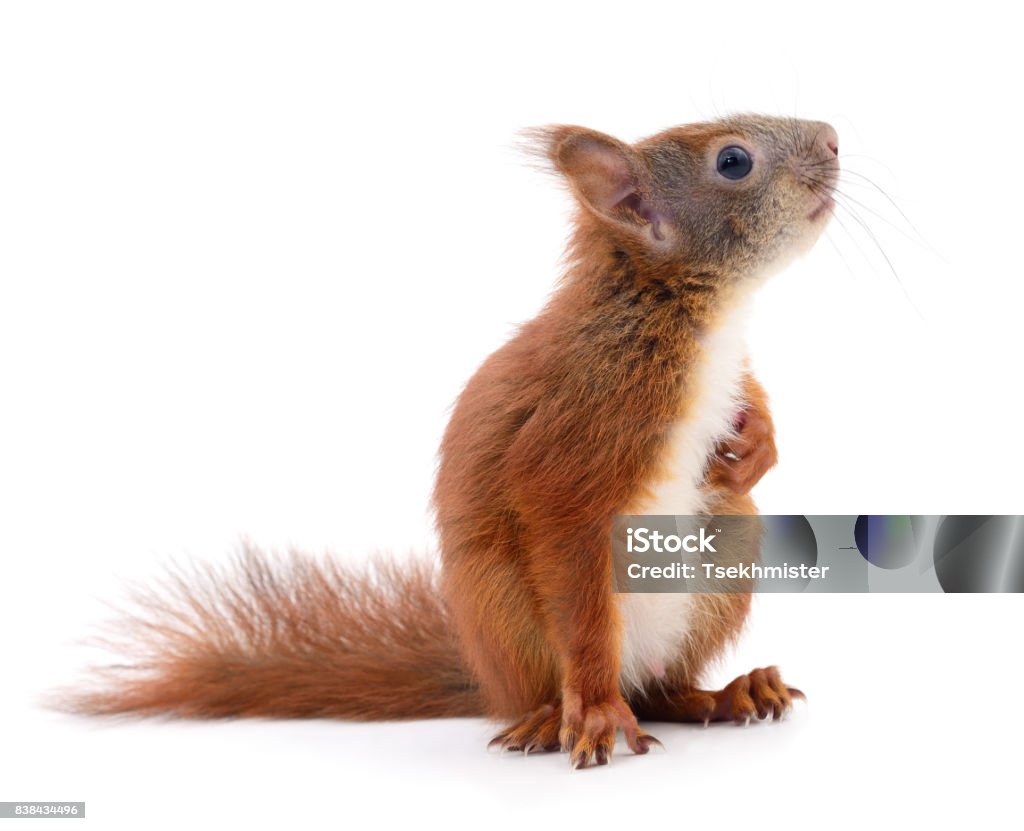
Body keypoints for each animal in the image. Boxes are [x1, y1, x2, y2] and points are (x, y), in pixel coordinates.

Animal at [59, 113, 835, 769]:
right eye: (732, 161)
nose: (831, 138)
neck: (690, 314)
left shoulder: (725, 375)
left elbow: (752, 401)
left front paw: (759, 447)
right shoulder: (585, 416)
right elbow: (560, 521)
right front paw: (594, 716)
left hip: (726, 548)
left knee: (666, 691)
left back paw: (728, 694)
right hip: (507, 609)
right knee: (583, 681)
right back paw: (558, 717)